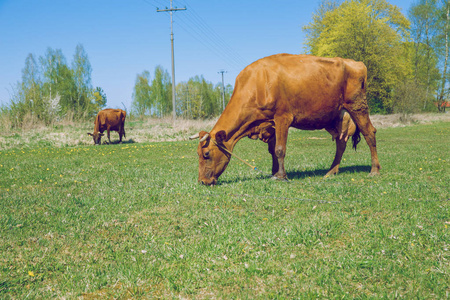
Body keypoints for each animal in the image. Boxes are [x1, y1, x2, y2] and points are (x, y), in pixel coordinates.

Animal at [190, 54, 380, 185]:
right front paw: (274, 173)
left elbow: (280, 149)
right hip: (336, 116)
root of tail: (356, 63)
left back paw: (374, 170)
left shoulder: (283, 117)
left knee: (369, 133)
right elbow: (273, 150)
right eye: (198, 154)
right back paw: (331, 172)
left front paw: (281, 177)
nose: (202, 181)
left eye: (206, 154)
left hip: (358, 106)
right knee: (341, 142)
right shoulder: (270, 124)